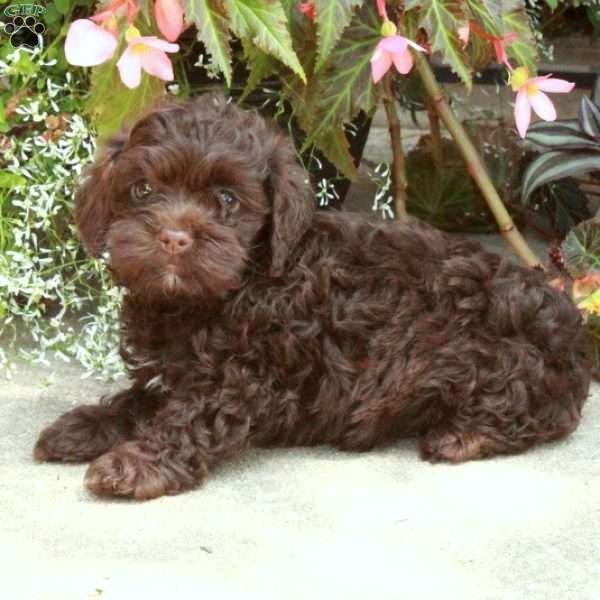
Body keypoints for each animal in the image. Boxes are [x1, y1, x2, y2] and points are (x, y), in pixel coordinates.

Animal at [35, 92, 592, 496]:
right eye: (143, 190)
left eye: (226, 199)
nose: (173, 238)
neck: (237, 283)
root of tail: (572, 327)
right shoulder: (179, 370)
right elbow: (141, 398)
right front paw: (86, 425)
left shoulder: (245, 376)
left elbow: (189, 417)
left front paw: (135, 464)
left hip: (489, 357)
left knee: (544, 413)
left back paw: (461, 436)